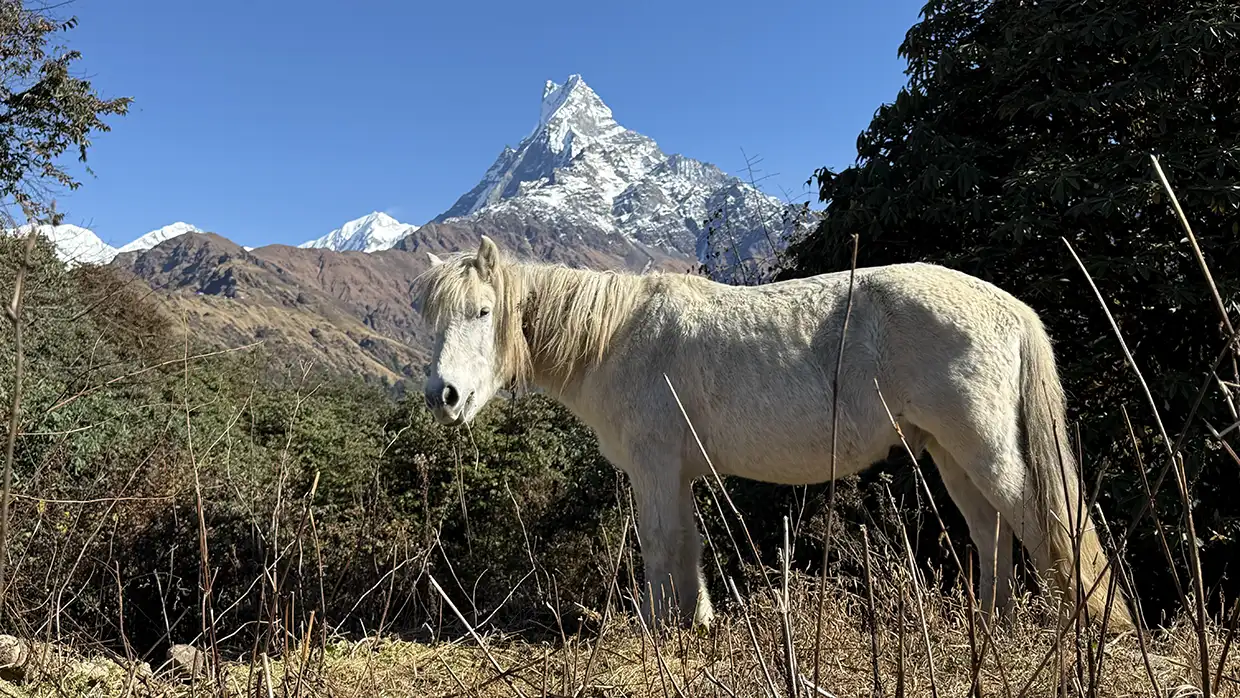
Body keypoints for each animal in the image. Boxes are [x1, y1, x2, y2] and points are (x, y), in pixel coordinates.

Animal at [413, 235, 1133, 632]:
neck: (618, 337)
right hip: (951, 452)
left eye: (483, 312)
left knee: (1042, 524)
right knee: (991, 530)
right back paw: (994, 626)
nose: (443, 397)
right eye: (430, 319)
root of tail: (1009, 307)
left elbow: (660, 547)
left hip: (985, 448)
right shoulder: (677, 474)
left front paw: (658, 633)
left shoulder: (653, 468)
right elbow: (688, 547)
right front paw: (695, 624)